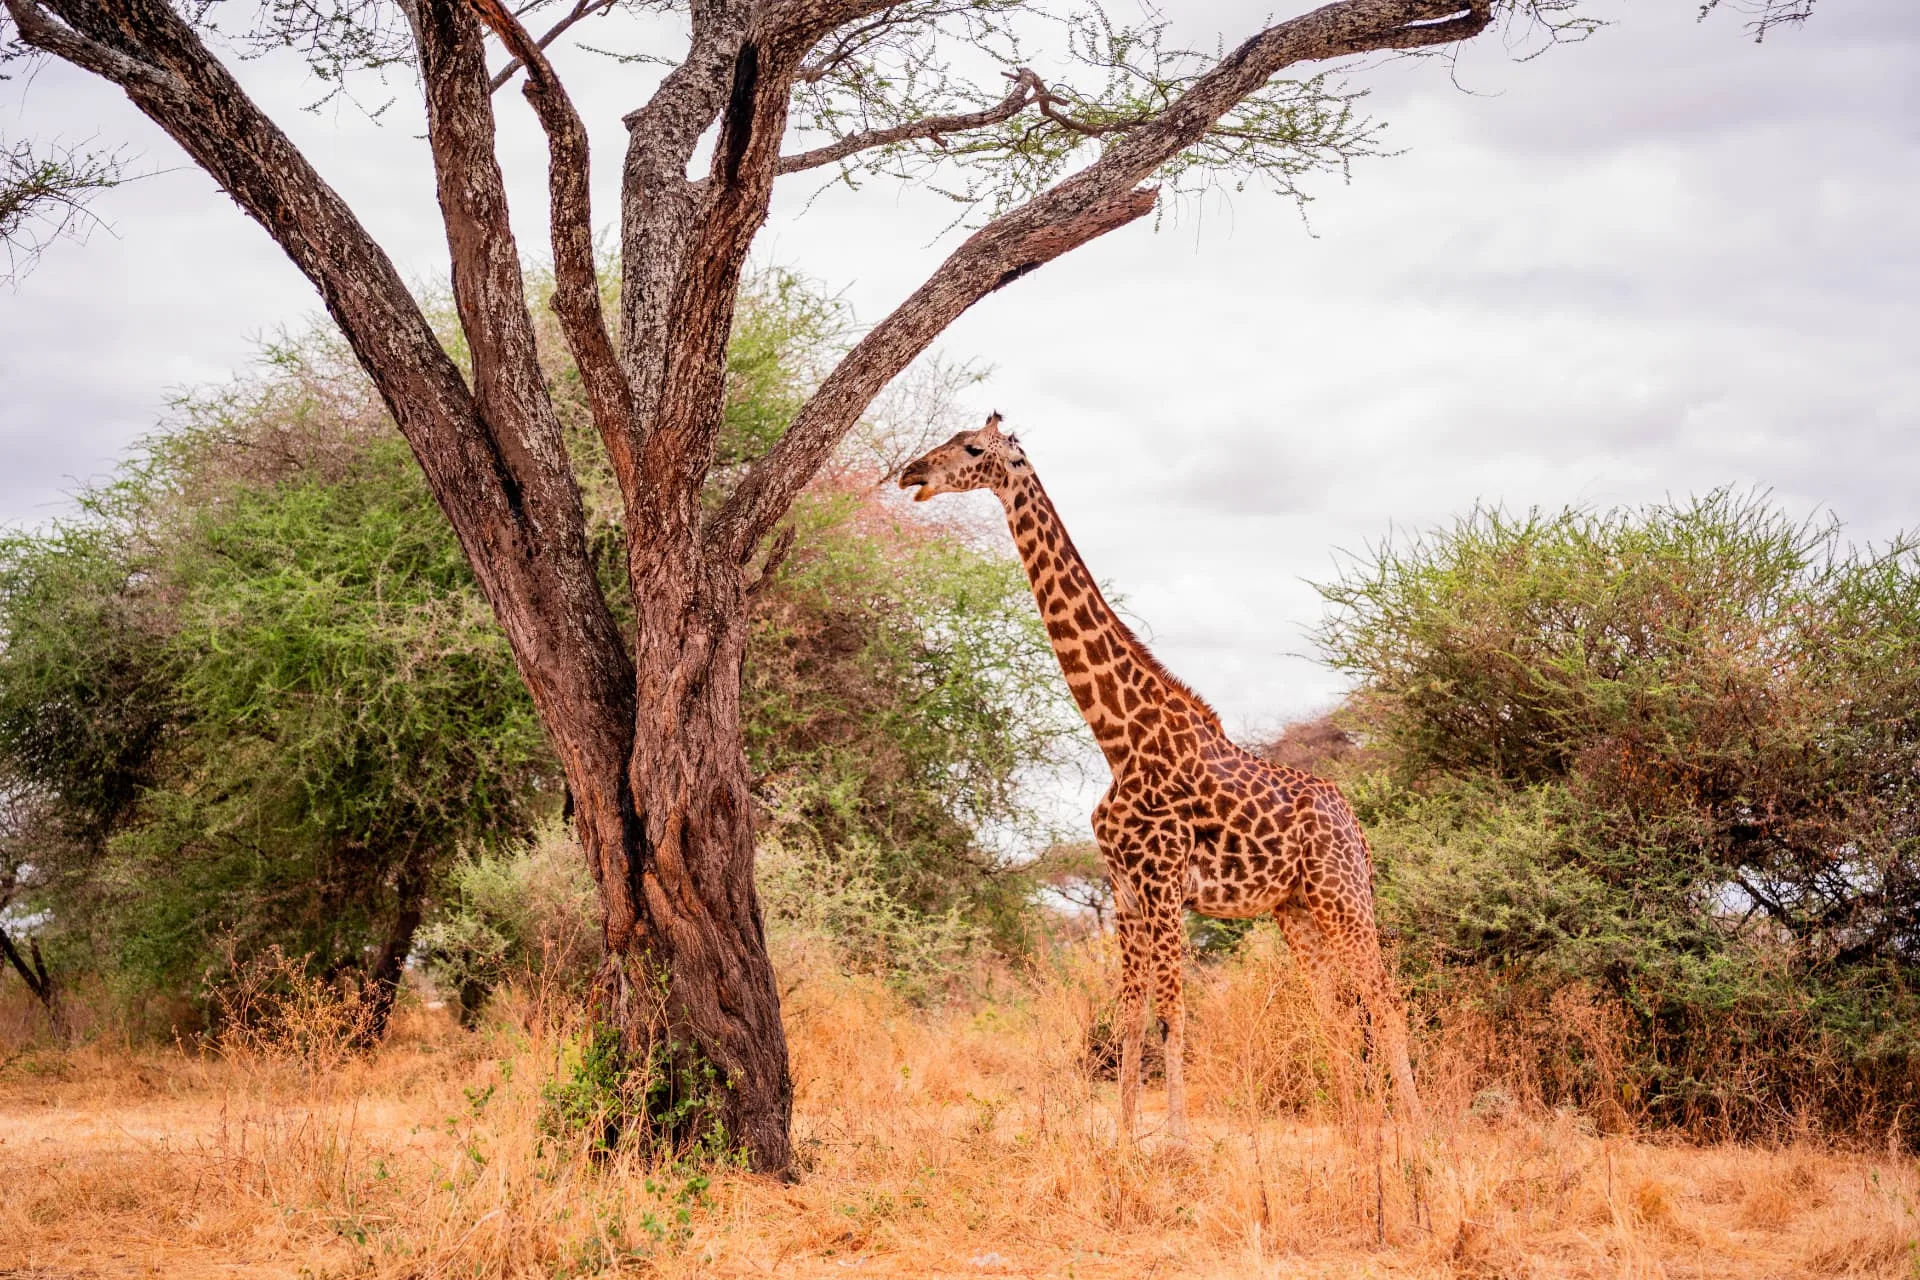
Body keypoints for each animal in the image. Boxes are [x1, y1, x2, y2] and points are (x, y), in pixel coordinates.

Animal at [898, 413, 1420, 1141]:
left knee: (1385, 998)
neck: (1119, 739)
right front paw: (1121, 1141)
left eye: (973, 448)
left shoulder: (1165, 882)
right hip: (1295, 909)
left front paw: (1175, 1142)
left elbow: (1173, 1015)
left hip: (1340, 896)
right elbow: (1131, 1016)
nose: (910, 473)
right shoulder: (1124, 888)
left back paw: (1421, 1132)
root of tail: (1358, 829)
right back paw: (1353, 1133)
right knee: (1337, 1009)